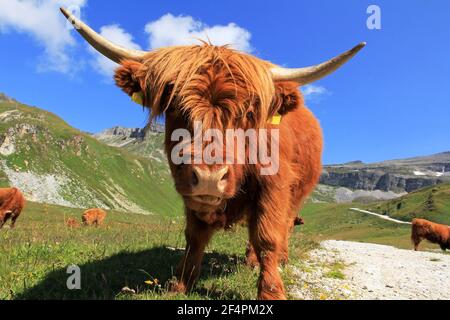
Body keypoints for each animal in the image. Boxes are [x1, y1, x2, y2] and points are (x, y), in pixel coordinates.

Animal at [61, 8, 366, 300]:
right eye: (175, 107)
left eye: (248, 113)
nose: (209, 177)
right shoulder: (191, 192)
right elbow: (194, 236)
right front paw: (180, 283)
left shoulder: (274, 186)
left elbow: (267, 236)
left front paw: (271, 291)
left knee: (282, 228)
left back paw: (276, 260)